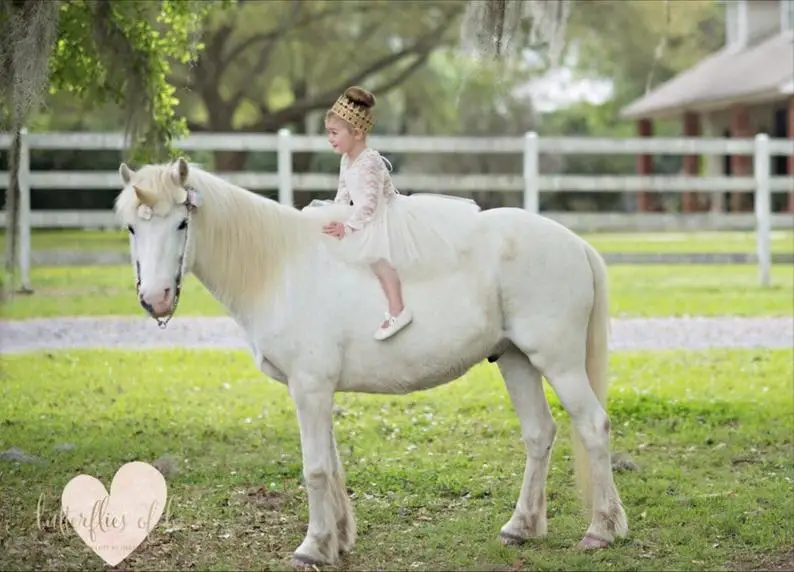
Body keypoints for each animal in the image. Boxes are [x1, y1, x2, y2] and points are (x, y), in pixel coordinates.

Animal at [114, 156, 628, 568]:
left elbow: (315, 470)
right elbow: (332, 467)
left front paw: (312, 548)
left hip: (558, 363)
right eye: (133, 228)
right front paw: (337, 541)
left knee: (593, 427)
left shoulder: (310, 388)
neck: (281, 268)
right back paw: (520, 527)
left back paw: (601, 530)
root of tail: (575, 244)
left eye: (182, 224)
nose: (155, 299)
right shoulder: (318, 392)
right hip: (515, 360)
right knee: (539, 435)